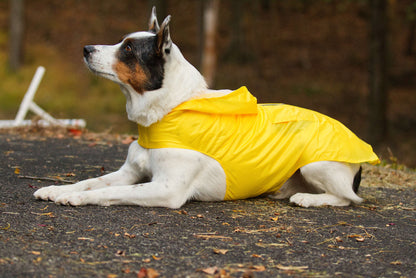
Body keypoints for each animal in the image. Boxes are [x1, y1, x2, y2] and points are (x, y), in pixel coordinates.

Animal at [33, 7, 380, 207]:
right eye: (122, 42)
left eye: (128, 49)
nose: (86, 48)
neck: (167, 111)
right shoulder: (129, 173)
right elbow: (94, 181)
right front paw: (59, 189)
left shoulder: (167, 189)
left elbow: (105, 193)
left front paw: (76, 197)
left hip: (316, 164)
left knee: (349, 198)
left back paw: (308, 198)